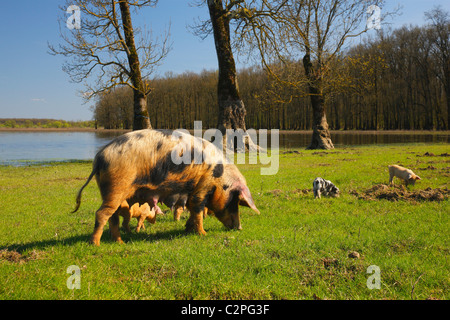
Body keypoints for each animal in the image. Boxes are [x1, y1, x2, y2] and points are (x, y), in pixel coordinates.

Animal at [71, 129, 258, 246]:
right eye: (234, 201)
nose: (239, 228)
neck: (219, 176)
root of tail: (99, 157)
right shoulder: (202, 187)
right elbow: (198, 210)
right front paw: (203, 234)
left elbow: (192, 211)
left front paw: (187, 229)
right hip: (116, 187)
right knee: (102, 214)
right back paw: (95, 244)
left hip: (110, 191)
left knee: (113, 217)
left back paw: (119, 241)